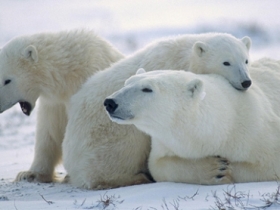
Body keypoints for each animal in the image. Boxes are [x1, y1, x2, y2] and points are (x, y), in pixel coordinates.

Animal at [63, 32, 252, 189]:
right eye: (226, 62)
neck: (184, 57)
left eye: (246, 60)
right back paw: (136, 178)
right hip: (105, 136)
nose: (246, 82)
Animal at [104, 57, 280, 184]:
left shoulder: (255, 133)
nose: (110, 102)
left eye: (147, 89)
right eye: (127, 83)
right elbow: (159, 165)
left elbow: (268, 164)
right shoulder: (165, 143)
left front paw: (226, 169)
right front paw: (216, 170)